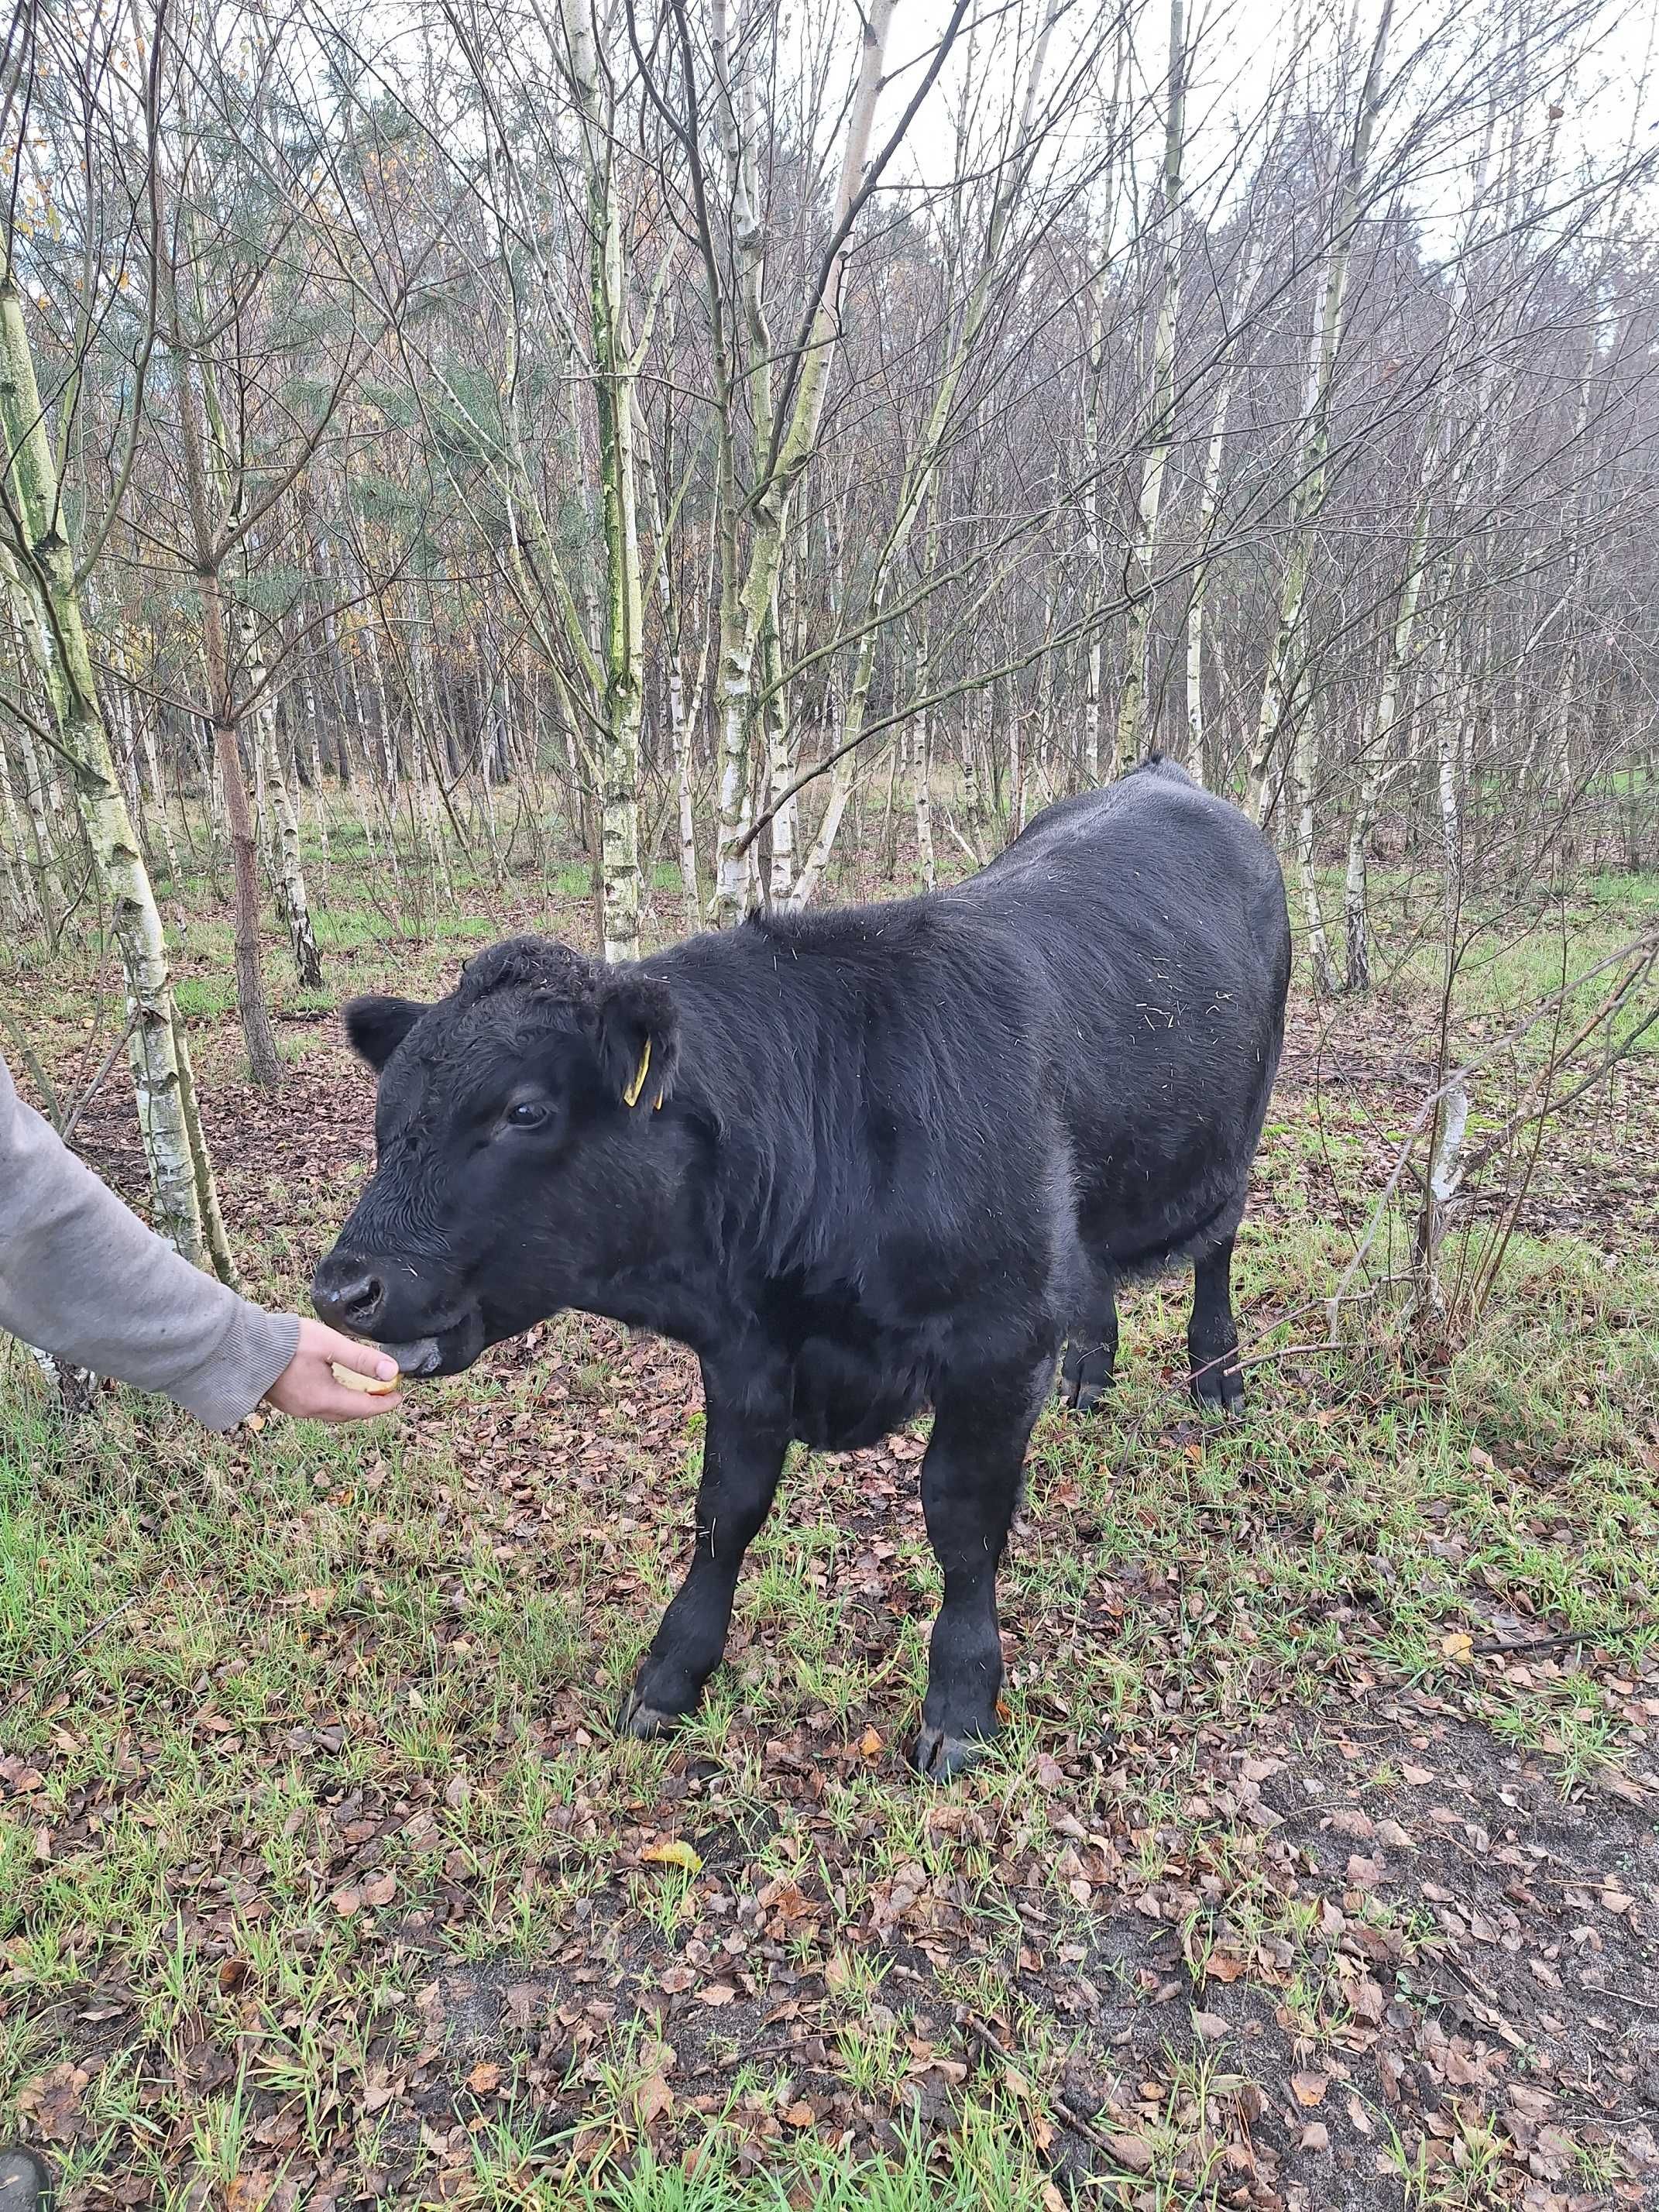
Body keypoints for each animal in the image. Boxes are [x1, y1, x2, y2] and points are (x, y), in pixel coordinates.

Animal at [318, 761, 1291, 1778]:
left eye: (525, 1111)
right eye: (389, 1116)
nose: (345, 1288)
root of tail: (1163, 777)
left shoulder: (998, 1342)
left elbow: (963, 1521)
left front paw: (960, 1700)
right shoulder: (748, 1353)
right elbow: (726, 1508)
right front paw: (673, 1673)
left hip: (1237, 1130)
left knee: (1218, 1245)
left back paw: (1217, 1373)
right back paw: (1090, 1370)